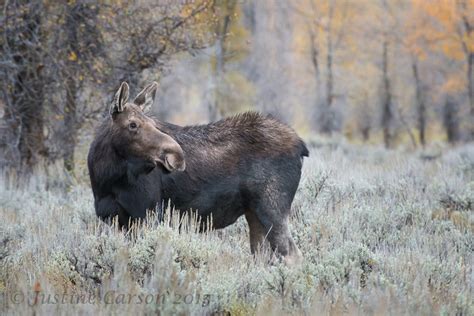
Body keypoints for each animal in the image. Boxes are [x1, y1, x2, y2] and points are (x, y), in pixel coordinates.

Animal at [87, 81, 310, 264]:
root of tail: (301, 146)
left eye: (153, 123)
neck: (105, 179)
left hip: (272, 207)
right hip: (254, 212)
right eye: (132, 124)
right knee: (262, 257)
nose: (176, 155)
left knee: (293, 255)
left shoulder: (148, 214)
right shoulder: (123, 221)